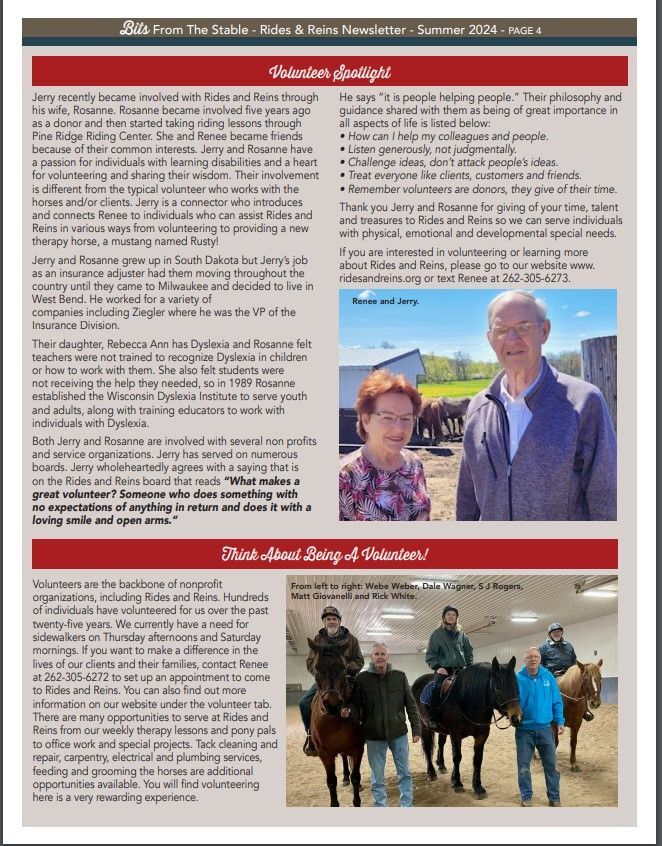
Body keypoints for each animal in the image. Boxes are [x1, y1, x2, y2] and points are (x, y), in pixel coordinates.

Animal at [308, 644, 366, 808]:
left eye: (345, 670)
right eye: (316, 672)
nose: (333, 705)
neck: (335, 721)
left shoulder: (357, 748)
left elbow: (356, 776)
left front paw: (357, 801)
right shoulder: (324, 753)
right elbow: (331, 781)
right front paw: (334, 803)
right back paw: (345, 778)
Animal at [416, 660, 524, 800]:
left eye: (516, 686)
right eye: (497, 688)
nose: (517, 717)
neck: (466, 700)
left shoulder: (482, 735)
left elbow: (477, 760)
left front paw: (478, 787)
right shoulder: (455, 735)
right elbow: (457, 757)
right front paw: (456, 783)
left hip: (442, 730)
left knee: (441, 744)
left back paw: (441, 765)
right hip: (424, 725)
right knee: (428, 747)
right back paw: (431, 773)